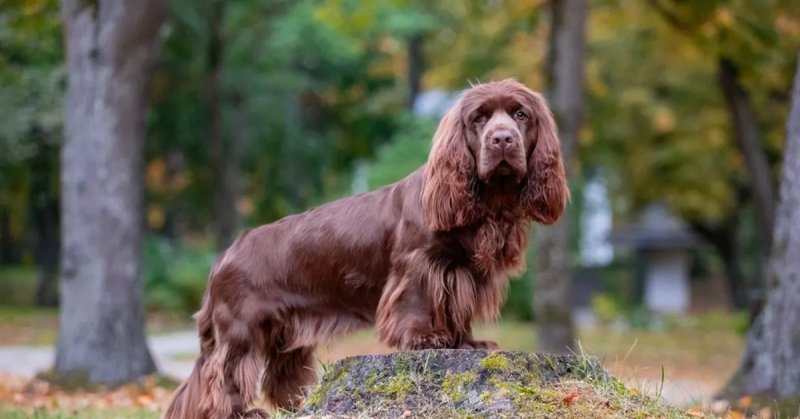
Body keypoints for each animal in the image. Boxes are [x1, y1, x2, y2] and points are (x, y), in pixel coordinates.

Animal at [164, 79, 568, 419]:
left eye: (521, 115)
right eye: (478, 118)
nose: (502, 139)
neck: (488, 205)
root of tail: (224, 256)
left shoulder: (461, 272)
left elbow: (456, 310)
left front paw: (466, 342)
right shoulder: (419, 264)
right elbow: (421, 301)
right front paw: (425, 339)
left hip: (285, 334)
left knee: (278, 375)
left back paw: (296, 405)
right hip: (240, 329)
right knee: (223, 374)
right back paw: (242, 413)